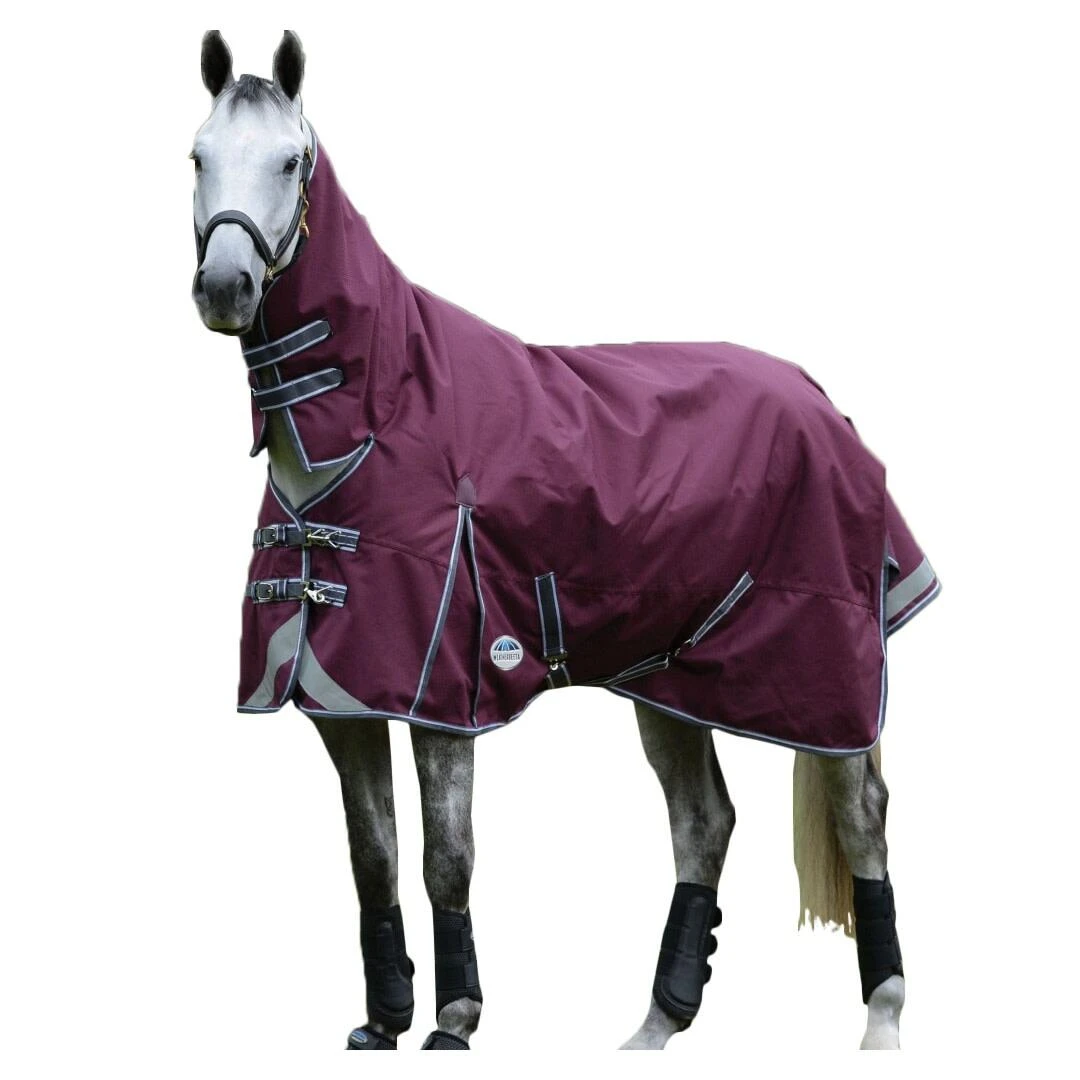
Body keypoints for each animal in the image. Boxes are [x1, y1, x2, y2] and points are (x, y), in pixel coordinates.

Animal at [190, 30, 938, 1050]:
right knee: (704, 819)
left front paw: (453, 1021)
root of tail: (823, 402)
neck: (380, 415)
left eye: (290, 161)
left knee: (861, 815)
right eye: (197, 157)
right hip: (671, 678)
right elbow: (373, 856)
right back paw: (655, 1027)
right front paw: (383, 1022)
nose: (225, 287)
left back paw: (882, 1024)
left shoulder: (444, 693)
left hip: (825, 673)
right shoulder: (343, 699)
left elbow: (447, 855)